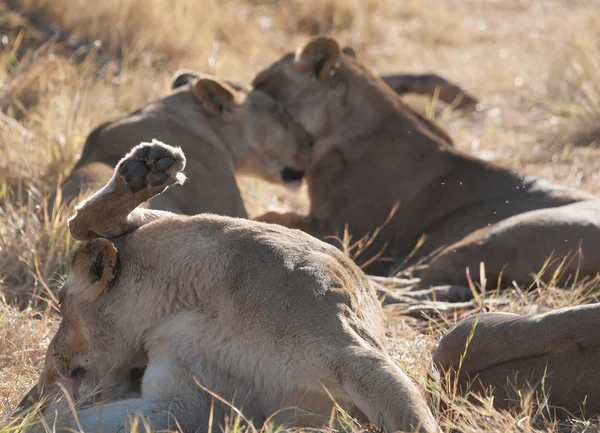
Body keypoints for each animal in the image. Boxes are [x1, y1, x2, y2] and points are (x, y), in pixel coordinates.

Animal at [19, 140, 440, 430]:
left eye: (61, 305)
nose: (35, 392)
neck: (176, 306)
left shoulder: (356, 356)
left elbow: (413, 420)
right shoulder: (181, 400)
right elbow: (67, 423)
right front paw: (26, 422)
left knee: (87, 226)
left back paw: (147, 169)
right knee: (87, 223)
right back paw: (146, 170)